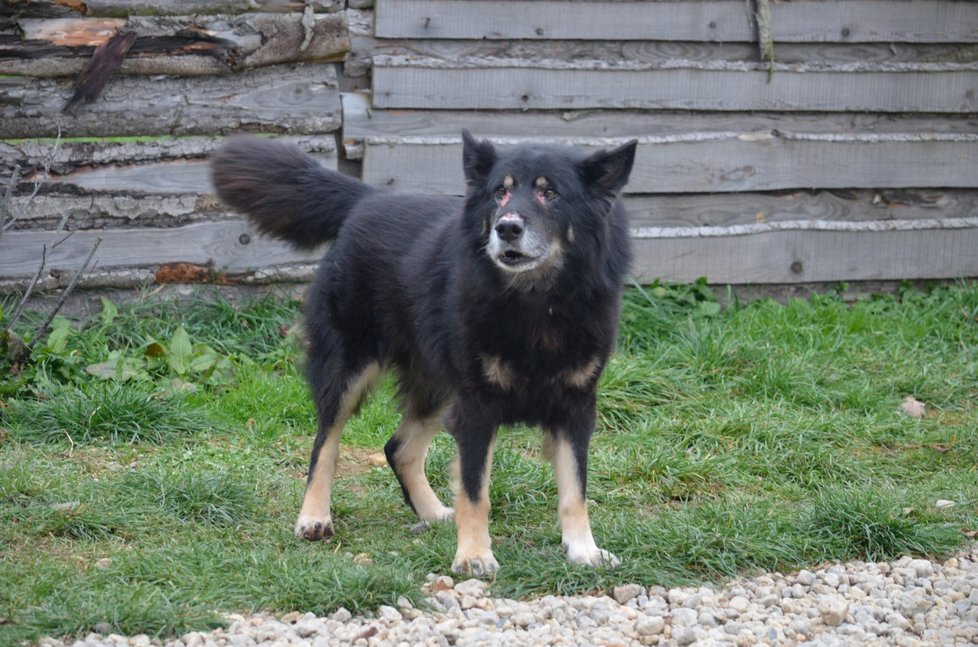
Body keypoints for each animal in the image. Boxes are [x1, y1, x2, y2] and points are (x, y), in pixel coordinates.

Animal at [211, 132, 636, 576]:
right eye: (499, 192)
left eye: (549, 193)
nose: (506, 228)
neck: (538, 300)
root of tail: (368, 199)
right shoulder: (477, 406)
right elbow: (476, 490)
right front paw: (473, 555)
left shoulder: (576, 406)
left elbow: (574, 488)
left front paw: (583, 550)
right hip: (350, 367)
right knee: (325, 442)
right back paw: (314, 517)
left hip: (438, 384)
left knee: (398, 448)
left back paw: (432, 514)